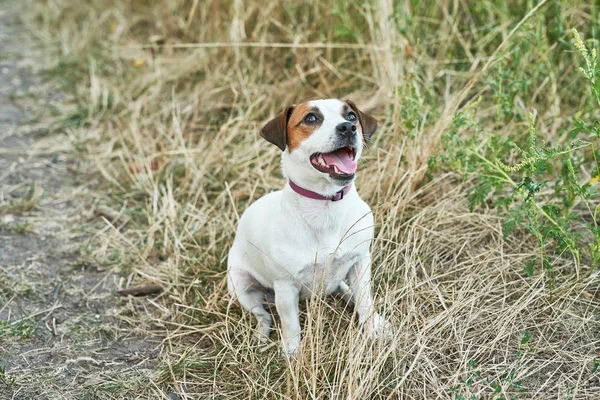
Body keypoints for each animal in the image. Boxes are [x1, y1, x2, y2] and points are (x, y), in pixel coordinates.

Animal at [226, 98, 390, 354]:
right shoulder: (285, 287)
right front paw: (293, 352)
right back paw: (261, 334)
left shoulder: (360, 262)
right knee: (263, 315)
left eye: (351, 116)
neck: (326, 204)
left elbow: (365, 299)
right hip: (241, 285)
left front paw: (373, 327)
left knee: (345, 288)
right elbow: (290, 323)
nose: (348, 128)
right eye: (310, 118)